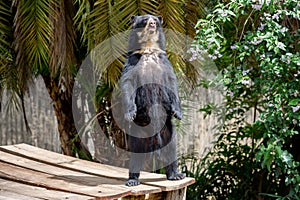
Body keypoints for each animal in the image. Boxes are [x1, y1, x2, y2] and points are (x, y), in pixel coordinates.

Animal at [119, 14, 185, 187]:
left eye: (155, 18)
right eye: (144, 19)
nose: (153, 23)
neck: (148, 49)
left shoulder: (164, 62)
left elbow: (172, 84)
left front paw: (178, 112)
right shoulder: (133, 62)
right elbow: (128, 84)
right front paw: (130, 113)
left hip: (168, 131)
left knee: (171, 151)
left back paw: (176, 174)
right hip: (137, 134)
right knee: (135, 156)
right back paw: (132, 179)